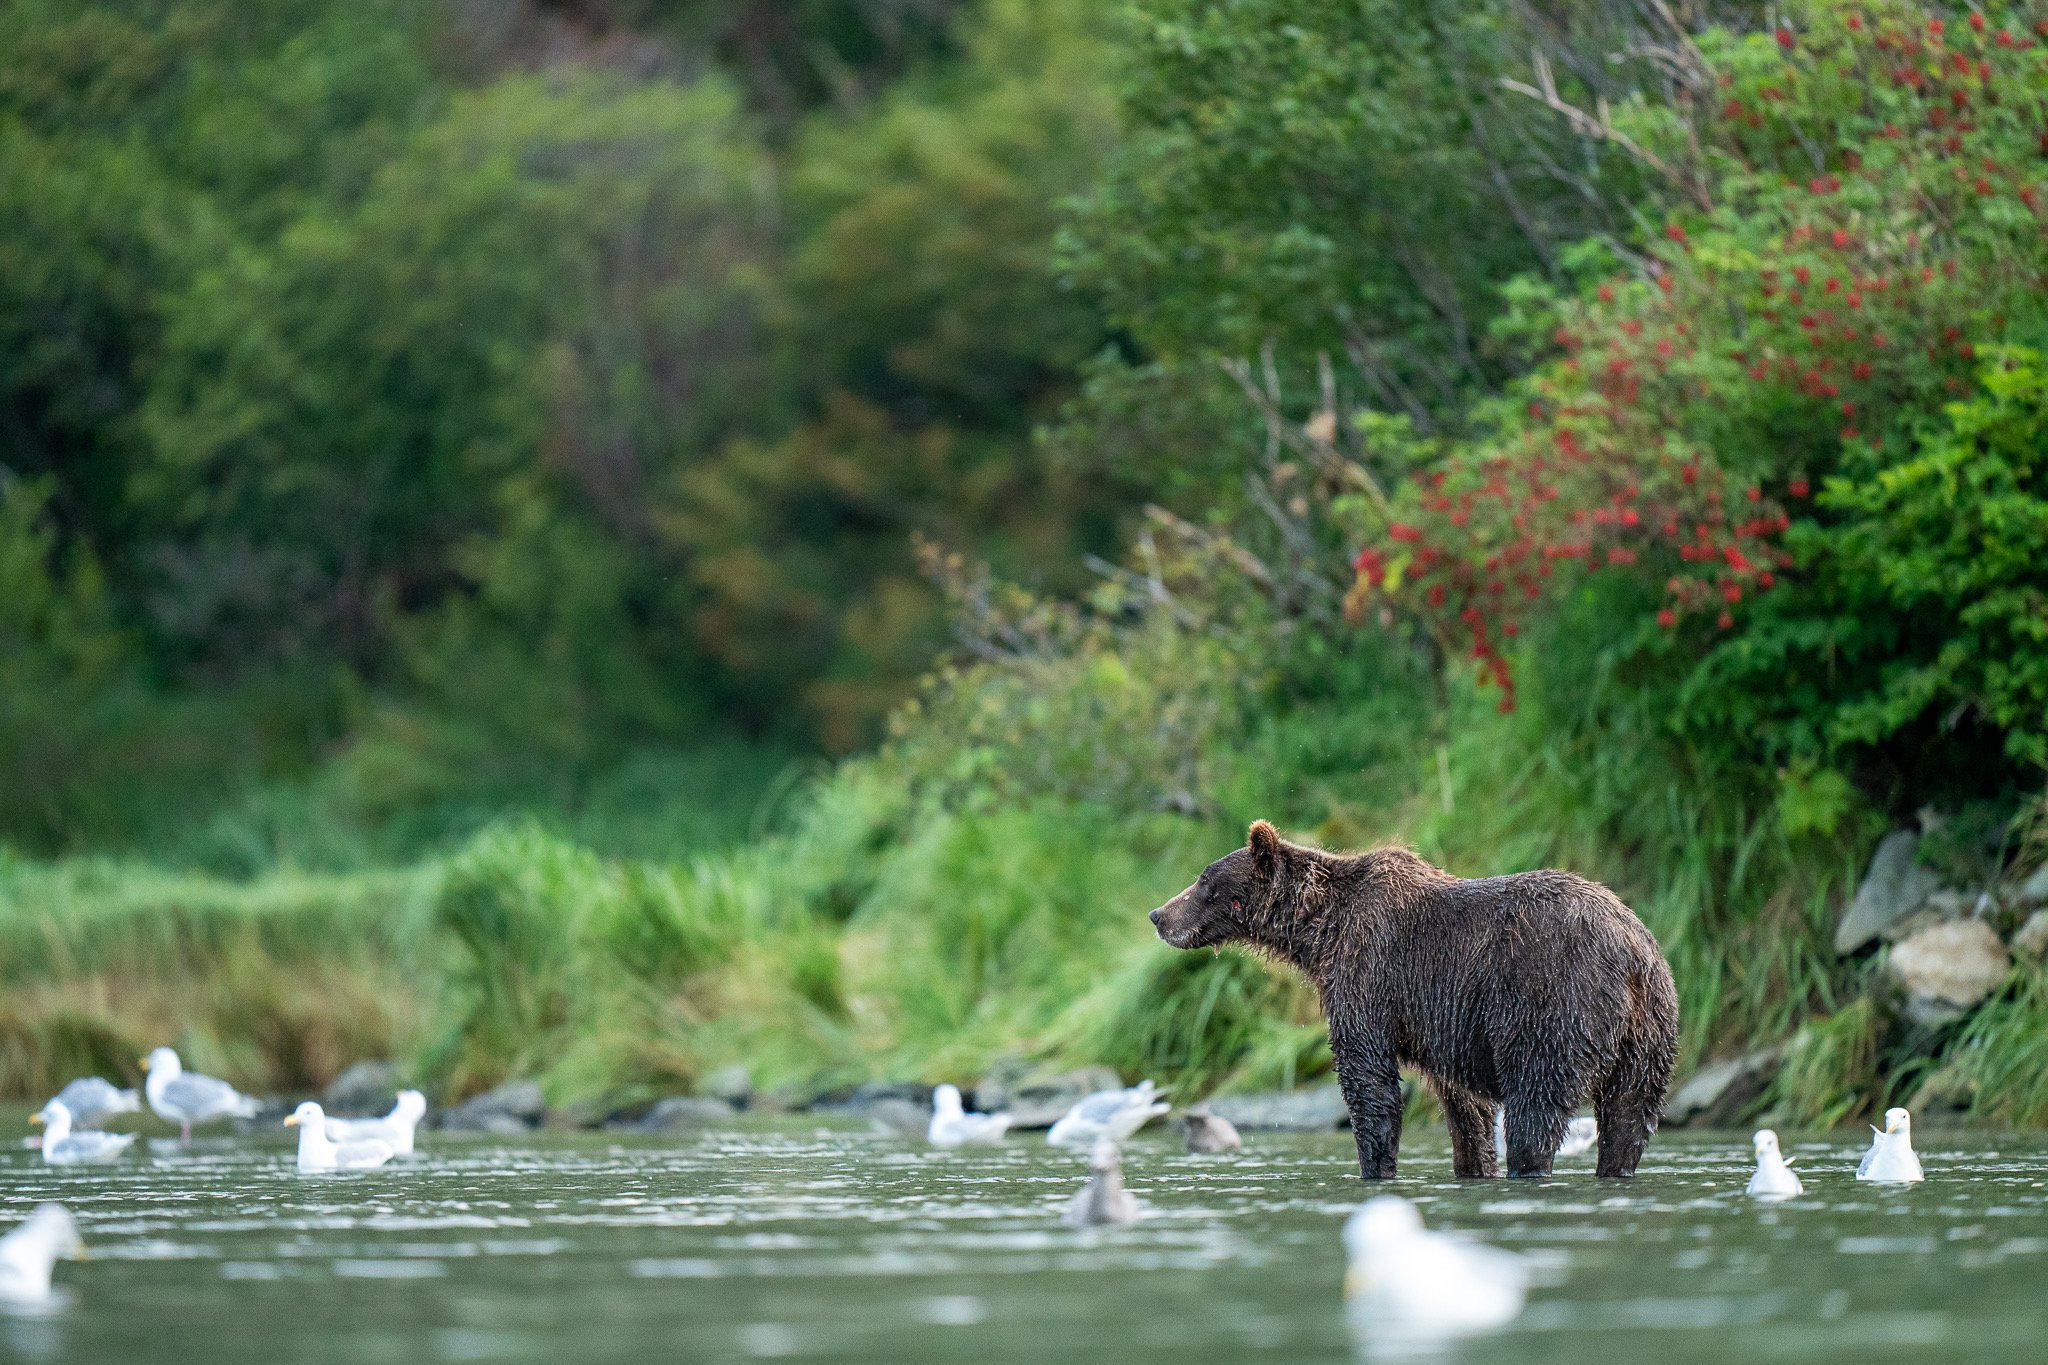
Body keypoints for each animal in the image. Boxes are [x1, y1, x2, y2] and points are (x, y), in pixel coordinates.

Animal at [1146, 822, 1671, 1186]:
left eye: (1204, 881)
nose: (1158, 915)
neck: (1320, 934)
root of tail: (1632, 951)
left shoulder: (1372, 974)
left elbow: (1368, 1080)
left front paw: (1374, 1166)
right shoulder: (1448, 1024)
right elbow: (1465, 1108)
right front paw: (1473, 1164)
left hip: (1554, 1003)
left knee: (1536, 1103)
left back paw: (1531, 1165)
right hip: (1649, 1032)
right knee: (1628, 1114)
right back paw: (1616, 1166)